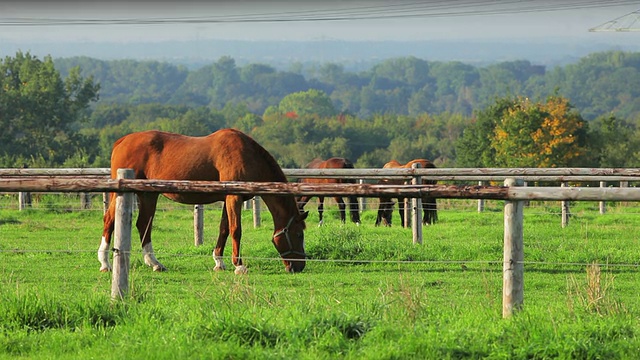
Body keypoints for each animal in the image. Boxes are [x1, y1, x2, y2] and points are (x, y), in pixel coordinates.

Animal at [99, 129, 308, 272]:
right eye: (299, 234)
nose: (299, 267)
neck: (247, 155)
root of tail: (122, 141)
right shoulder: (234, 198)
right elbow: (236, 230)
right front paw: (239, 265)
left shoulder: (227, 198)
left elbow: (224, 229)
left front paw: (219, 262)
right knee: (109, 220)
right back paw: (105, 262)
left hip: (148, 195)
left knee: (143, 225)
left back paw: (155, 263)